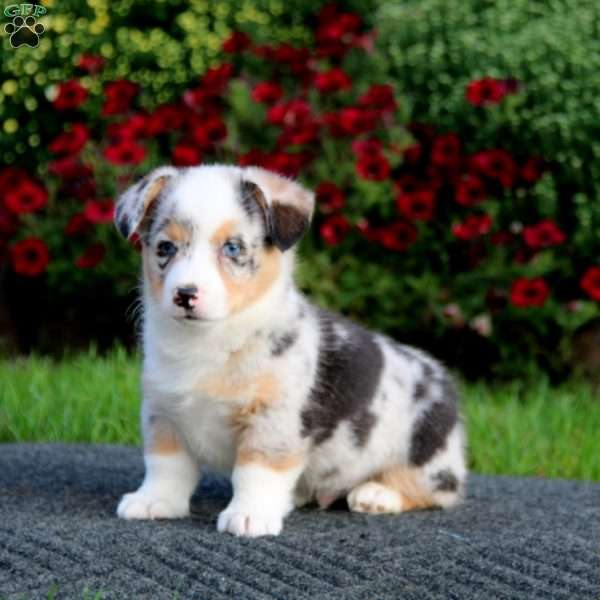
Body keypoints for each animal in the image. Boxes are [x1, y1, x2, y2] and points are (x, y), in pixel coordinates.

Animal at [113, 165, 468, 540]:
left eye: (232, 247)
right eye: (165, 247)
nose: (185, 294)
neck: (209, 340)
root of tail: (444, 383)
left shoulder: (274, 418)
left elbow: (256, 470)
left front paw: (249, 515)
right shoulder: (164, 413)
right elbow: (166, 466)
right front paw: (154, 501)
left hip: (427, 453)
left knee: (438, 490)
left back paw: (377, 494)